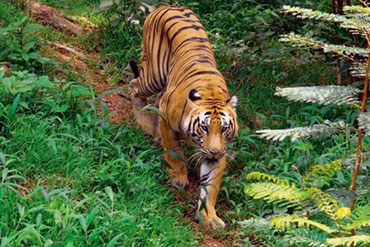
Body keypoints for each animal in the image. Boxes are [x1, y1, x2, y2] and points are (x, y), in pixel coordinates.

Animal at [130, 4, 240, 229]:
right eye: (204, 127)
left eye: (224, 128)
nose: (214, 152)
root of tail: (167, 5)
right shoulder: (167, 120)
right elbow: (174, 152)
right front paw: (178, 177)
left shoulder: (219, 151)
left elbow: (211, 186)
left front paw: (209, 217)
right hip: (153, 75)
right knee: (135, 86)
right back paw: (144, 123)